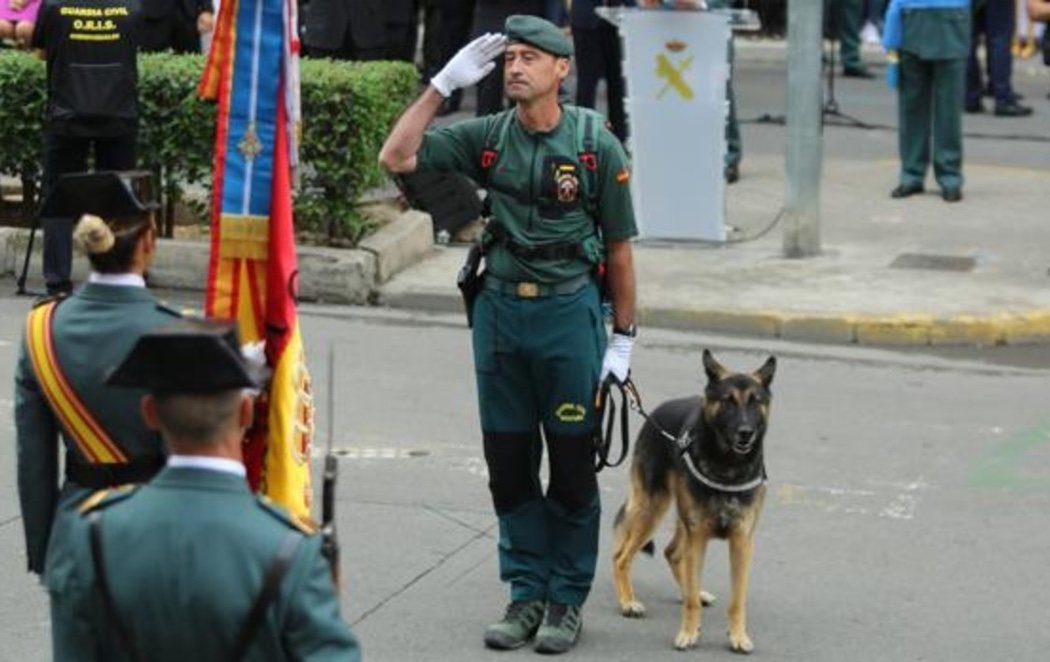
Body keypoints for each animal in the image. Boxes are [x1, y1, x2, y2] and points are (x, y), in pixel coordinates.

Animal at [613, 350, 776, 655]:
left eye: (755, 401)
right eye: (728, 401)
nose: (745, 432)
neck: (727, 466)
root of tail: (657, 411)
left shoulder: (741, 541)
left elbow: (737, 600)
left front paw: (738, 636)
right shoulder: (698, 536)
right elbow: (689, 601)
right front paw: (688, 632)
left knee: (672, 553)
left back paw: (695, 591)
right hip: (653, 509)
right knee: (622, 556)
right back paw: (628, 602)